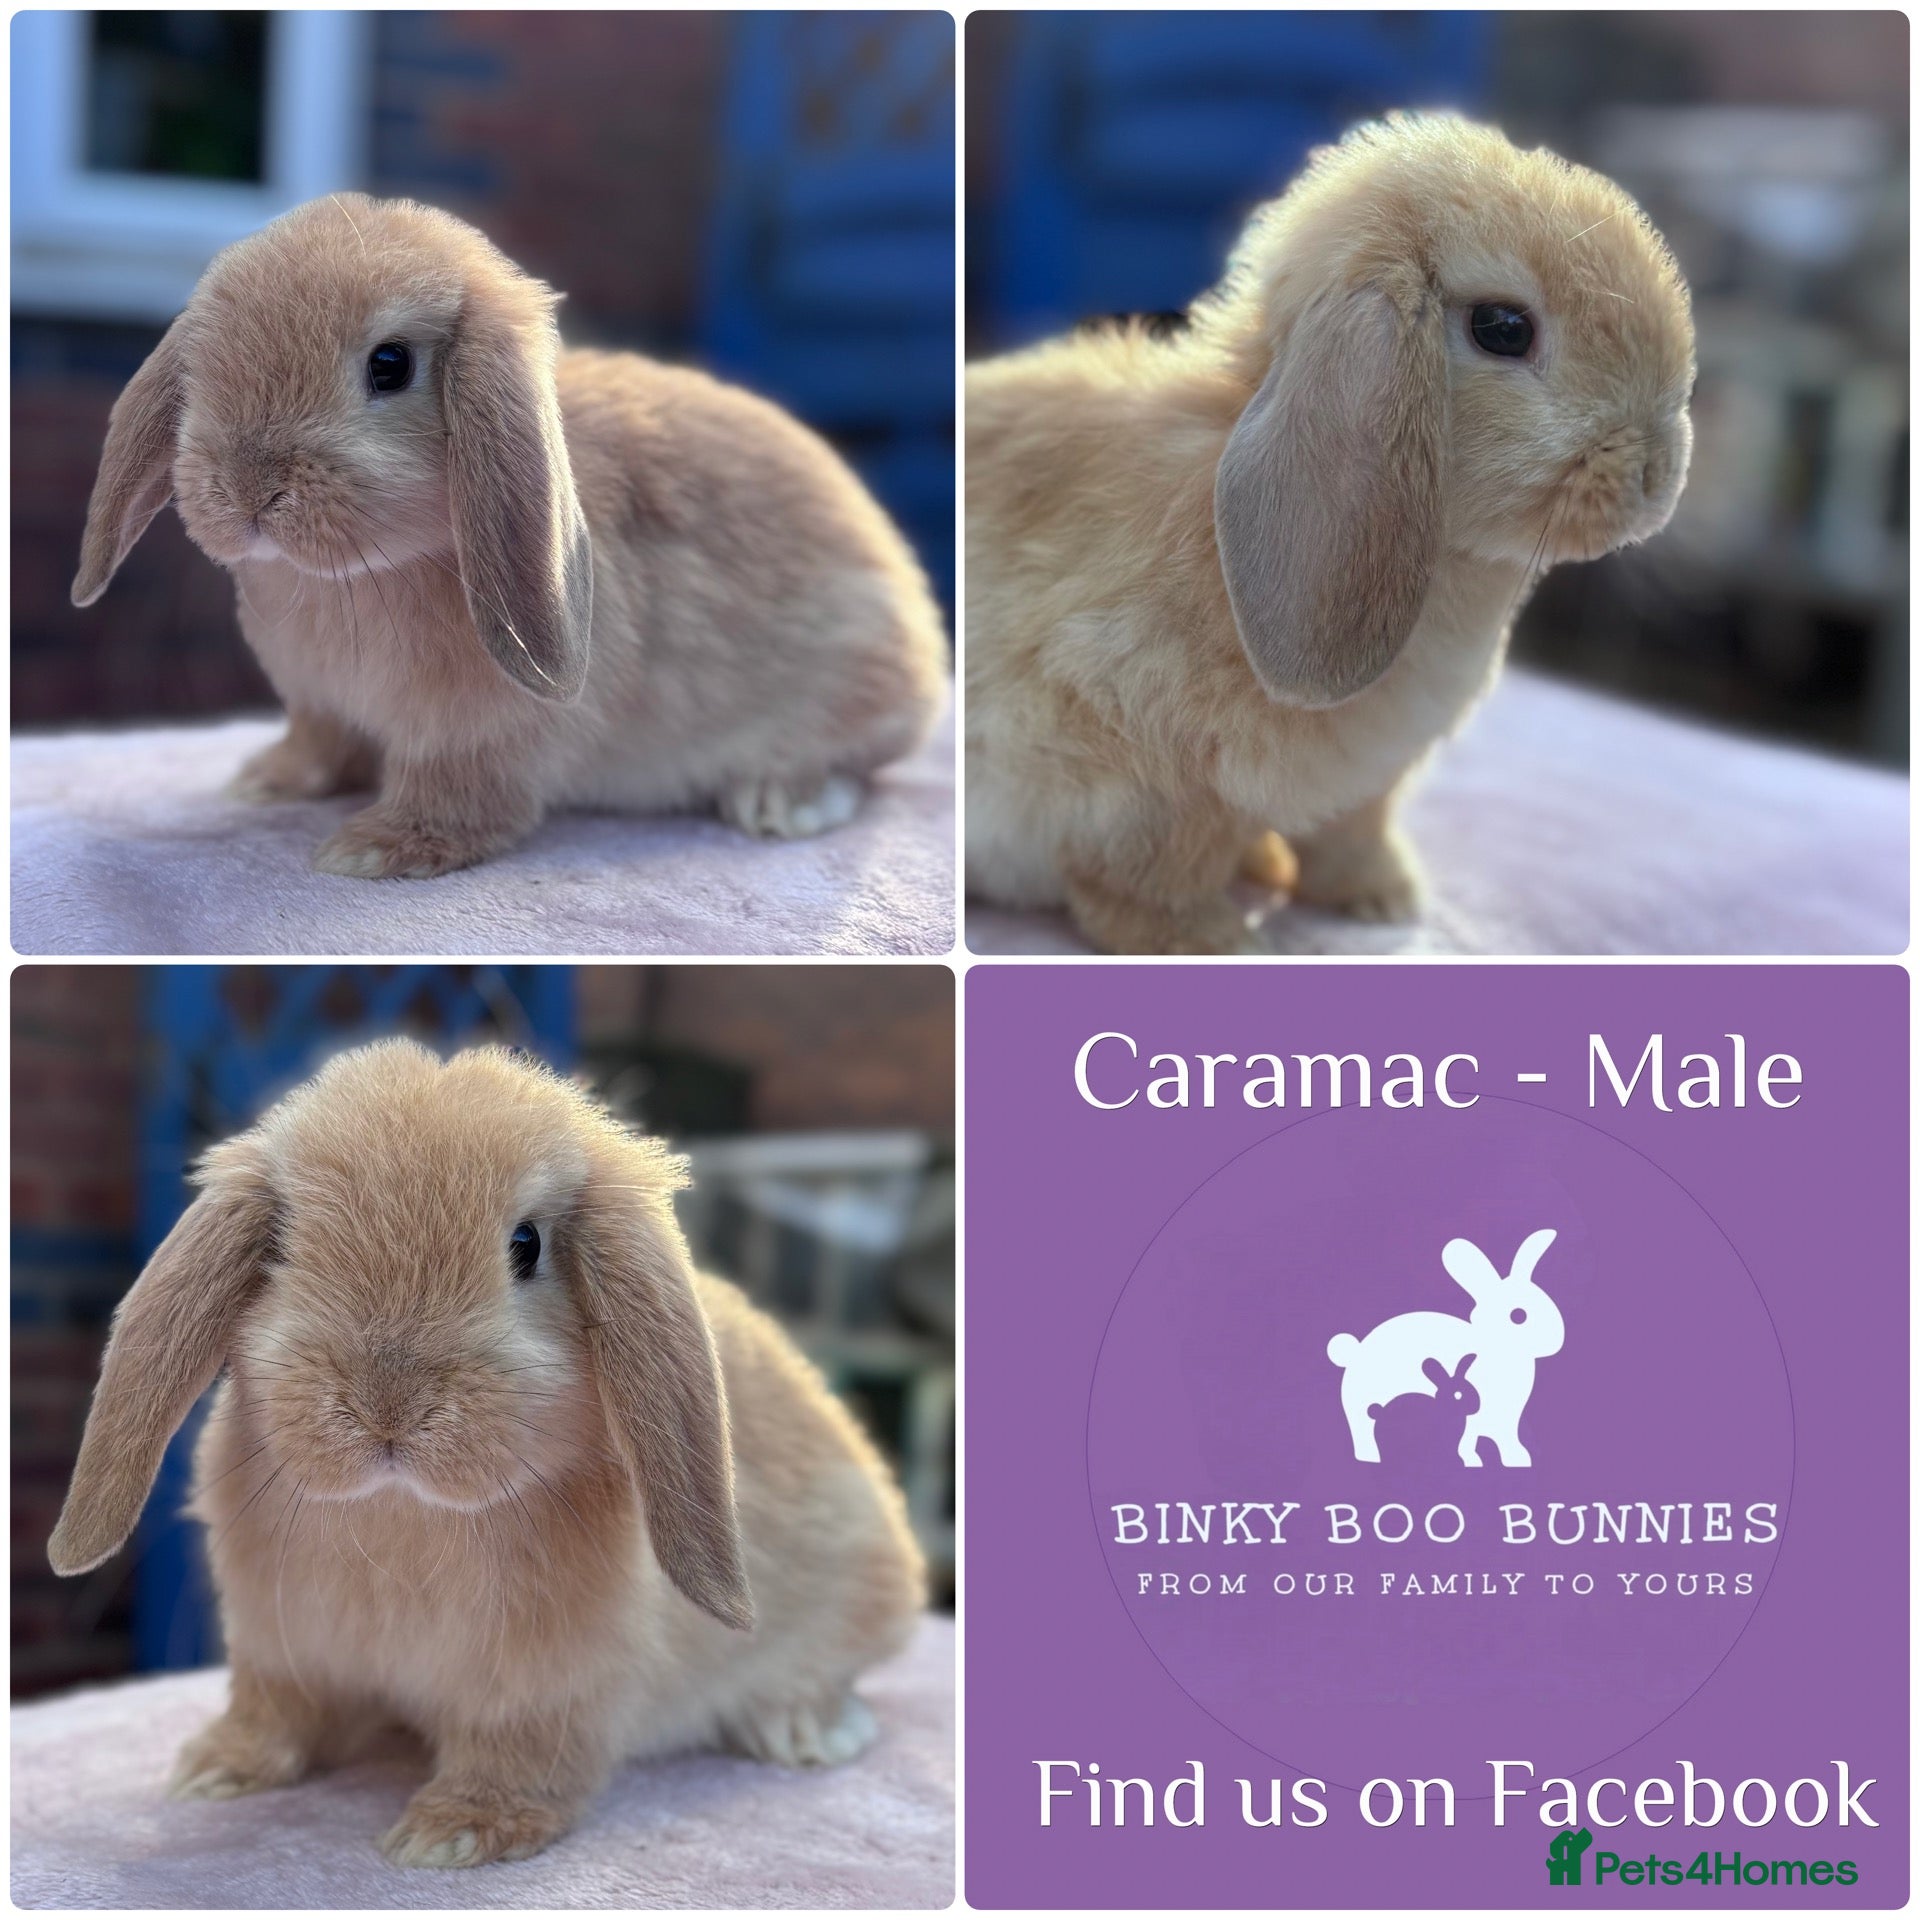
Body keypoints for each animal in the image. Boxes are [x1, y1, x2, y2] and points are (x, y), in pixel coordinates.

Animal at [47, 1041, 925, 1867]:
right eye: (284, 1242)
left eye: (526, 1244)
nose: (387, 1404)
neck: (400, 1514)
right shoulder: (281, 1650)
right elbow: (273, 1713)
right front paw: (215, 1769)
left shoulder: (545, 1687)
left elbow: (519, 1758)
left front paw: (453, 1834)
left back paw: (801, 1730)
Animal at [72, 194, 947, 879]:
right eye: (202, 362)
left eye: (390, 364)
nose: (248, 488)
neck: (366, 573)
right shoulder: (320, 704)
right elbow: (317, 744)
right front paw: (267, 780)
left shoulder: (478, 735)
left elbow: (459, 795)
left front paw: (375, 850)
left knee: (854, 767)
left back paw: (776, 802)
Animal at [966, 112, 1695, 953]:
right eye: (1504, 329)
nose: (1659, 475)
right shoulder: (1140, 767)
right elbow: (1149, 876)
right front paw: (1215, 941)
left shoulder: (1368, 780)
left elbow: (1351, 835)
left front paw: (1385, 900)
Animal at [1326, 1229, 1561, 1467]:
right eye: (1518, 1316)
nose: (1558, 1339)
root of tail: (1355, 1351)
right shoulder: (1471, 1419)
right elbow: (1467, 1440)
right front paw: (1471, 1460)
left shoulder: (1506, 1421)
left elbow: (1507, 1440)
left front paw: (1518, 1459)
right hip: (1363, 1407)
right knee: (1362, 1431)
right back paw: (1371, 1456)